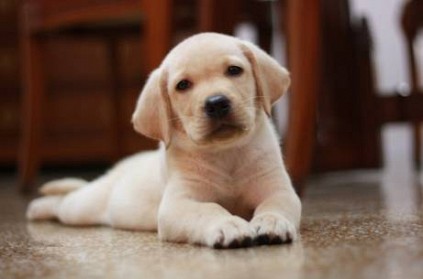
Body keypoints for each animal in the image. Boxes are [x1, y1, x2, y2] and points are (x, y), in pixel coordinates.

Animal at [26, 32, 302, 249]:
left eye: (234, 70)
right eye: (183, 85)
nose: (216, 103)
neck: (225, 153)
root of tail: (117, 170)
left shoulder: (277, 188)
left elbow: (275, 203)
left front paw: (272, 222)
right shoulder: (176, 205)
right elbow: (208, 209)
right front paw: (228, 224)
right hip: (83, 207)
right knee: (63, 202)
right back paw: (38, 207)